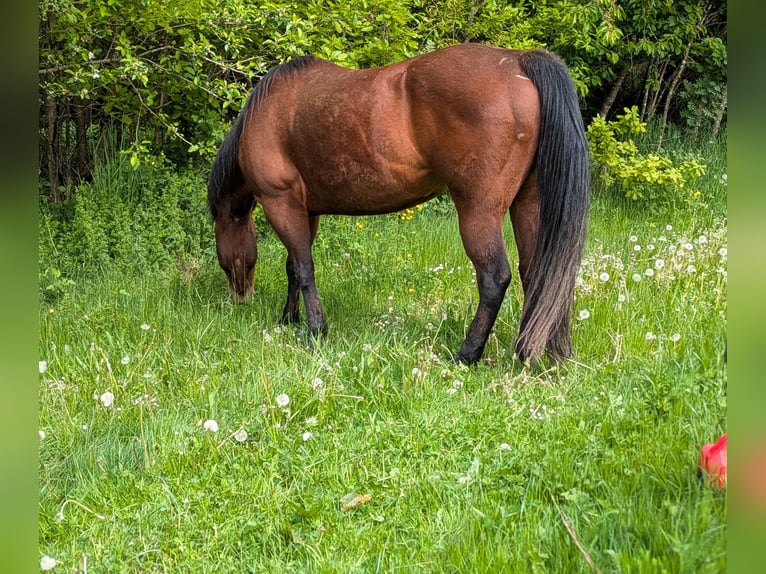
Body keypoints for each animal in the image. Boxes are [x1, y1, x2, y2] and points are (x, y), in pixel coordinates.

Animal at [207, 43, 590, 364]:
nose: (241, 297)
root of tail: (517, 60)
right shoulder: (306, 211)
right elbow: (293, 267)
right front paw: (289, 318)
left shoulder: (281, 203)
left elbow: (303, 269)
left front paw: (316, 330)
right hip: (528, 204)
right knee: (538, 273)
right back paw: (543, 353)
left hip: (479, 211)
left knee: (495, 278)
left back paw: (466, 355)